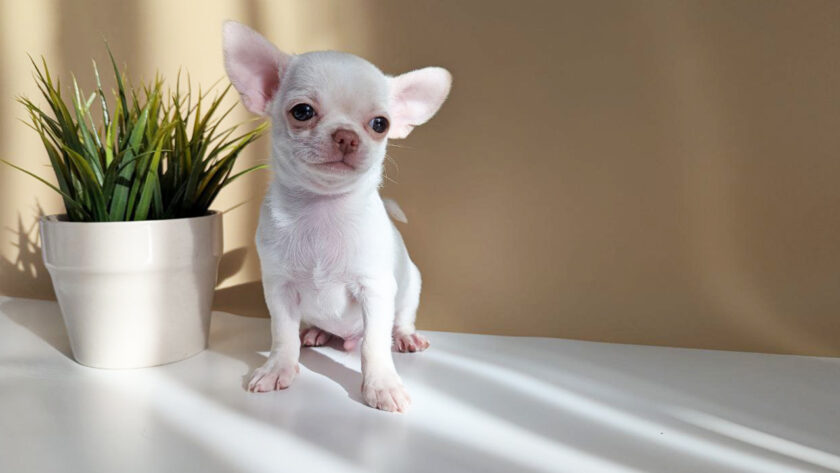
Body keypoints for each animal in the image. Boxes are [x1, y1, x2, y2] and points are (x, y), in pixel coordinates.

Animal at [222, 21, 451, 412]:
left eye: (380, 124)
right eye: (302, 112)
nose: (346, 136)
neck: (322, 207)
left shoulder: (375, 290)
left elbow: (374, 345)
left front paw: (381, 385)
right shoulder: (280, 289)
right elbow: (282, 334)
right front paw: (278, 367)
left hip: (409, 288)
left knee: (399, 321)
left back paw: (406, 337)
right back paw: (315, 331)